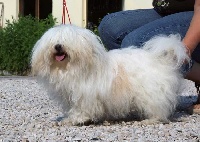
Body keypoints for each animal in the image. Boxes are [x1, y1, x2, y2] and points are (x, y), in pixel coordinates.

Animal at [30, 24, 189, 125]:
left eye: (68, 40)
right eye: (53, 41)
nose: (58, 46)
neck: (70, 68)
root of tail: (162, 59)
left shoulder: (85, 95)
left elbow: (82, 109)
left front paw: (77, 119)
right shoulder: (71, 96)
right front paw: (68, 119)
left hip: (151, 93)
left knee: (158, 109)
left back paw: (149, 120)